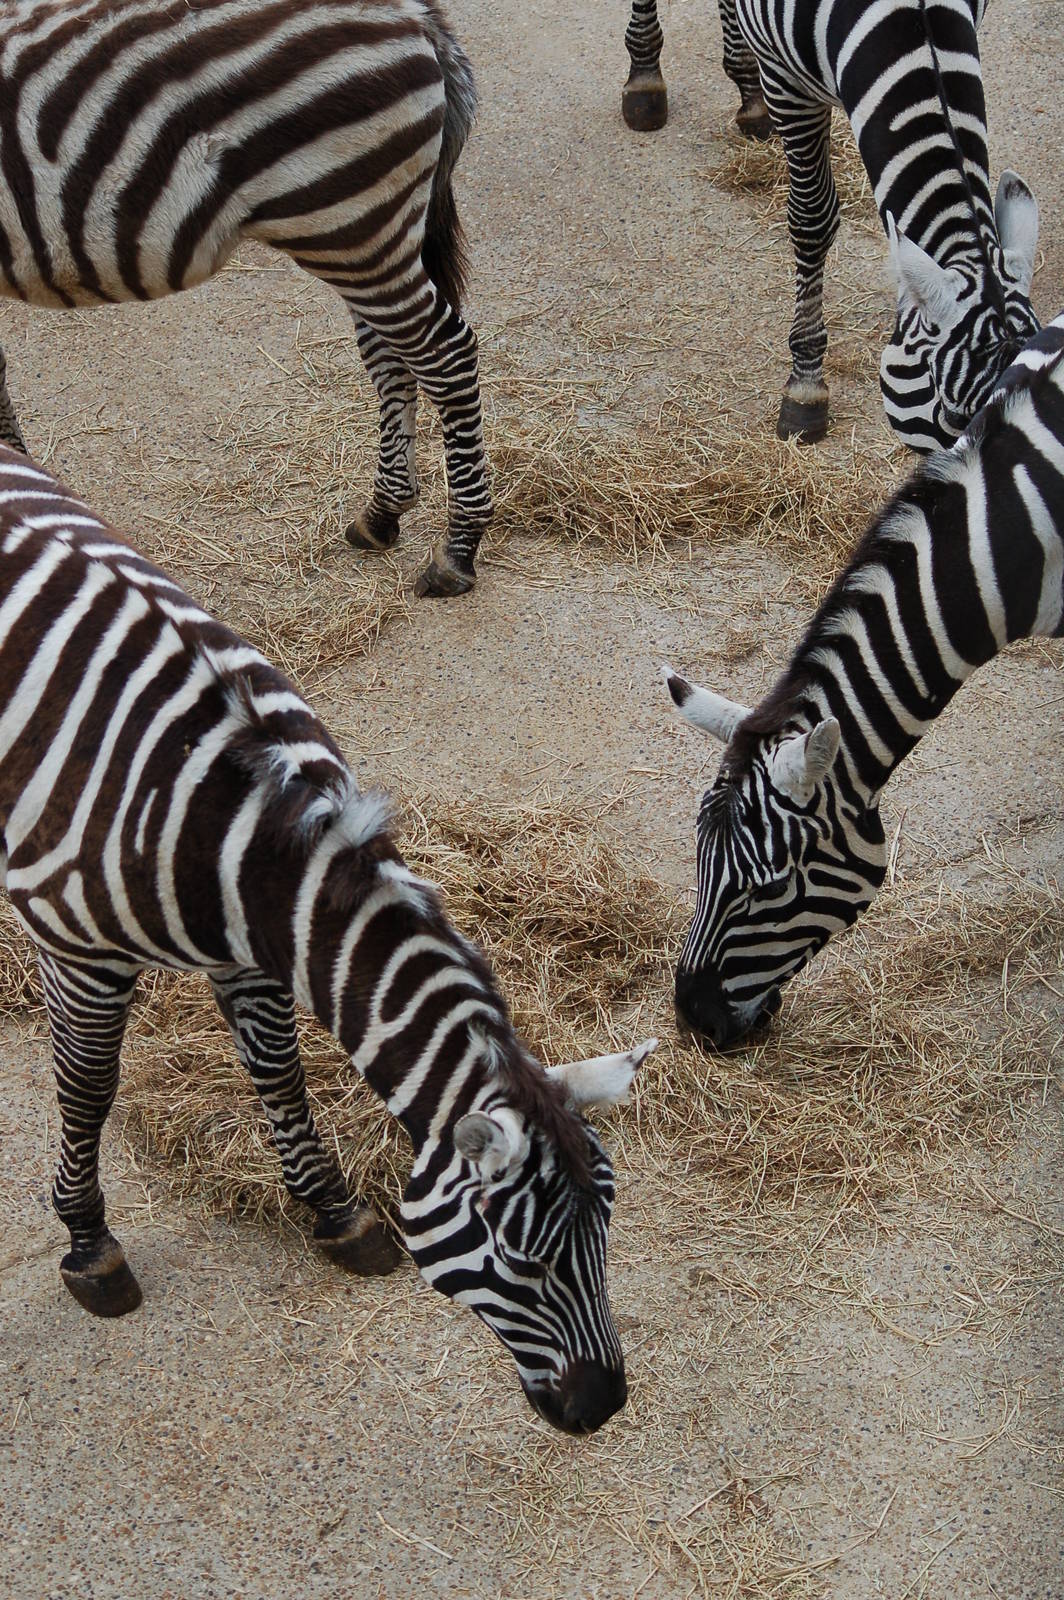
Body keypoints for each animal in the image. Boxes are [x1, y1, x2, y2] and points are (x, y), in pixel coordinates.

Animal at [0, 0, 491, 598]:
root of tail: (414, 13)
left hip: (344, 218)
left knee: (445, 353)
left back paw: (458, 547)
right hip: (367, 228)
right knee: (392, 356)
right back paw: (382, 514)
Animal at [0, 446, 658, 1434]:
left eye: (609, 1236)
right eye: (526, 1261)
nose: (603, 1405)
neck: (243, 833)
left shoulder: (255, 952)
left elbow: (278, 1073)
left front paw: (333, 1212)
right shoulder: (80, 954)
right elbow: (87, 1088)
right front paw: (88, 1243)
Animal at [620, 0, 1041, 452]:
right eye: (955, 416)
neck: (912, 18)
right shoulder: (787, 83)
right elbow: (812, 218)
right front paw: (805, 386)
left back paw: (750, 98)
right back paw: (645, 76)